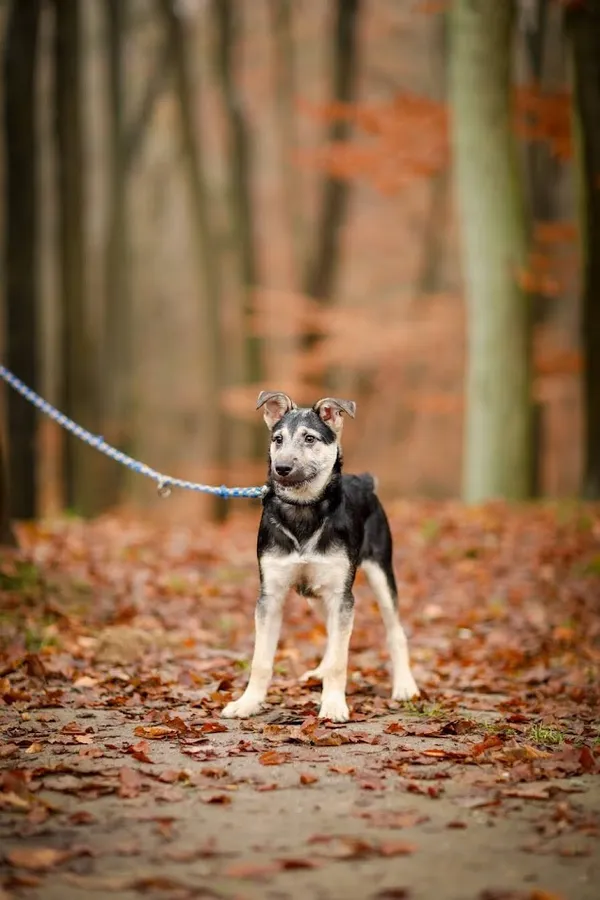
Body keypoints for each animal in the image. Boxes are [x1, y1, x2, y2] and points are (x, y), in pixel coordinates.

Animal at [223, 390, 420, 720]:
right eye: (277, 439)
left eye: (310, 438)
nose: (281, 468)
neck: (304, 510)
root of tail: (364, 480)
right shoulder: (270, 595)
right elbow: (261, 660)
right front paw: (247, 702)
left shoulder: (342, 594)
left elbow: (341, 660)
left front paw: (334, 704)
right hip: (317, 594)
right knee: (330, 633)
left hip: (379, 572)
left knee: (394, 632)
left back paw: (405, 686)